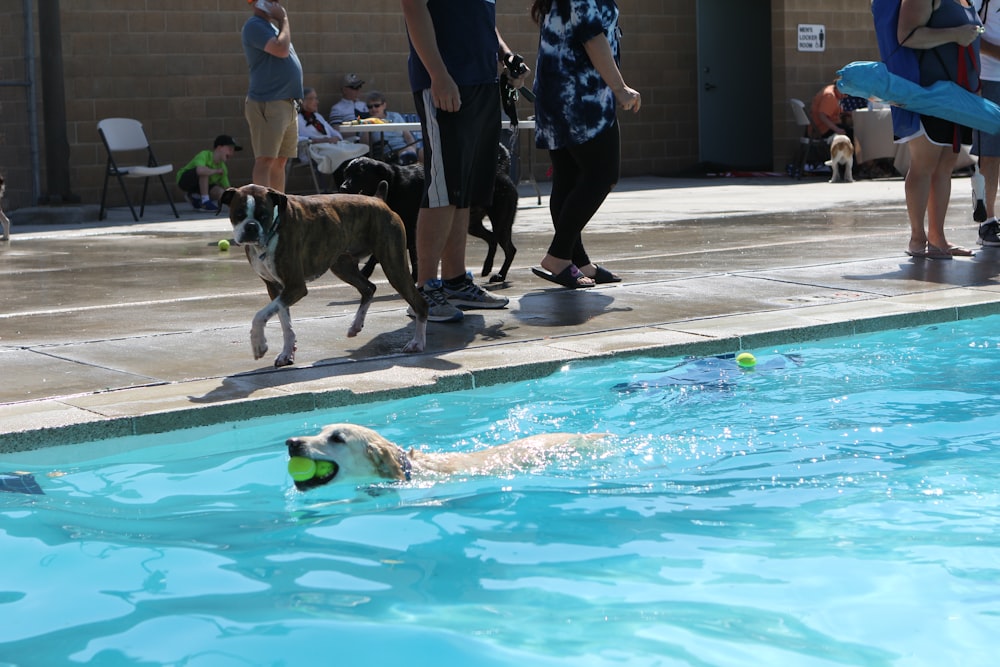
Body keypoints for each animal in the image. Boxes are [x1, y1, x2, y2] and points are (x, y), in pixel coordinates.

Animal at [221, 183, 428, 368]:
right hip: (342, 266)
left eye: (263, 215)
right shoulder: (276, 288)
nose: (251, 227)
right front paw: (287, 353)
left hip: (394, 267)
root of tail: (378, 200)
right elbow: (284, 322)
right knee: (369, 288)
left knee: (419, 302)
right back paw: (356, 325)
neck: (273, 229)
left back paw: (417, 343)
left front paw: (259, 343)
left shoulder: (295, 287)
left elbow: (260, 315)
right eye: (238, 214)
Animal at [342, 145, 520, 284]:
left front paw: (366, 271)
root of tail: (501, 171)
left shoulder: (408, 228)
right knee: (495, 241)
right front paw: (415, 278)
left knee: (507, 247)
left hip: (501, 222)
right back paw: (490, 269)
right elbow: (413, 256)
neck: (393, 185)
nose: (343, 187)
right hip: (473, 225)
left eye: (360, 173)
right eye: (346, 173)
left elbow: (386, 255)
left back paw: (499, 273)